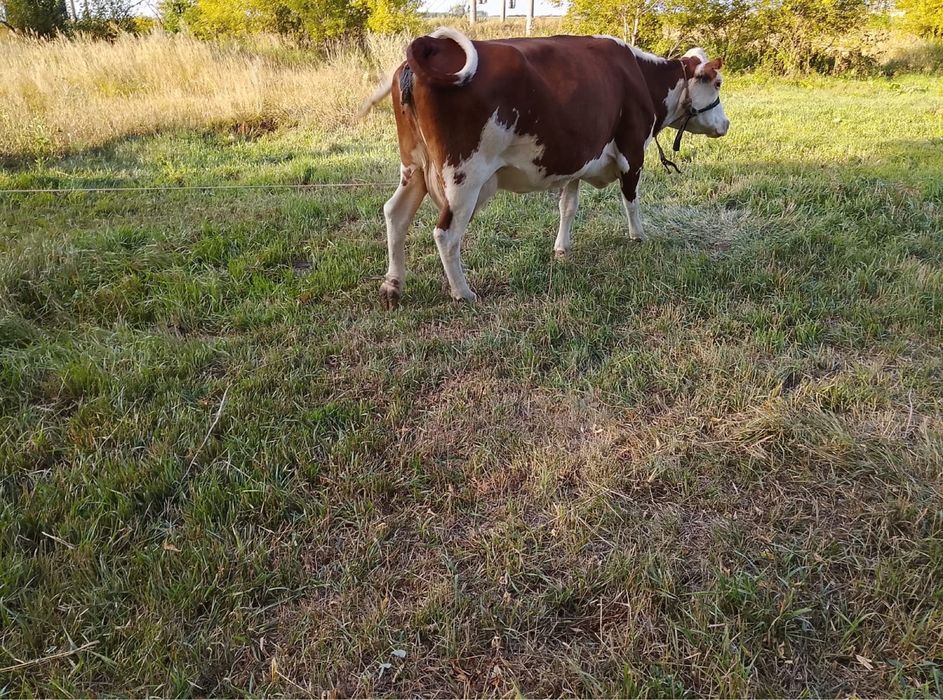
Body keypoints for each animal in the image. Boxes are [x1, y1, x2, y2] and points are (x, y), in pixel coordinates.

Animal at [361, 28, 729, 308]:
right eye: (717, 83)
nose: (726, 124)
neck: (639, 76)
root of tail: (432, 44)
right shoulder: (631, 151)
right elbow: (631, 200)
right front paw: (638, 236)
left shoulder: (575, 160)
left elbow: (568, 206)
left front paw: (562, 250)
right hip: (465, 177)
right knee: (446, 234)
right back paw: (463, 292)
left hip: (414, 167)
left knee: (395, 213)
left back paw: (393, 284)